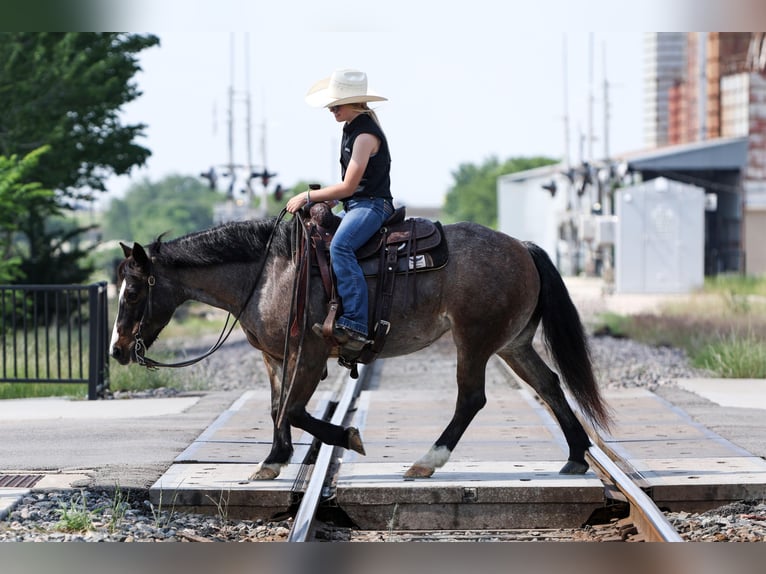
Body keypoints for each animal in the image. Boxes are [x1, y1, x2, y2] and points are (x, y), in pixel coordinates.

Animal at [109, 215, 612, 482]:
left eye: (132, 291)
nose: (116, 350)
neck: (269, 274)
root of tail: (523, 247)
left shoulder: (309, 354)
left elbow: (294, 409)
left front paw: (347, 436)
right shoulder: (274, 357)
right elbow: (277, 407)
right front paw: (273, 461)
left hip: (475, 340)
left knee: (472, 398)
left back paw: (426, 462)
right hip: (512, 343)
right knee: (549, 384)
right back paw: (574, 457)